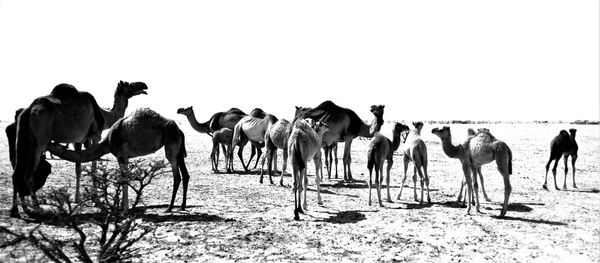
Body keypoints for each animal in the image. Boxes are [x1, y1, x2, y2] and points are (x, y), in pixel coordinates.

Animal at [47, 108, 189, 213]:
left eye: (51, 144)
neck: (108, 142)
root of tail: (180, 130)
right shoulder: (125, 157)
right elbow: (122, 178)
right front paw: (121, 207)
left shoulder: (121, 154)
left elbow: (124, 179)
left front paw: (124, 211)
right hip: (178, 150)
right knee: (185, 174)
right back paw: (181, 206)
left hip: (170, 145)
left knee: (177, 176)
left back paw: (169, 208)